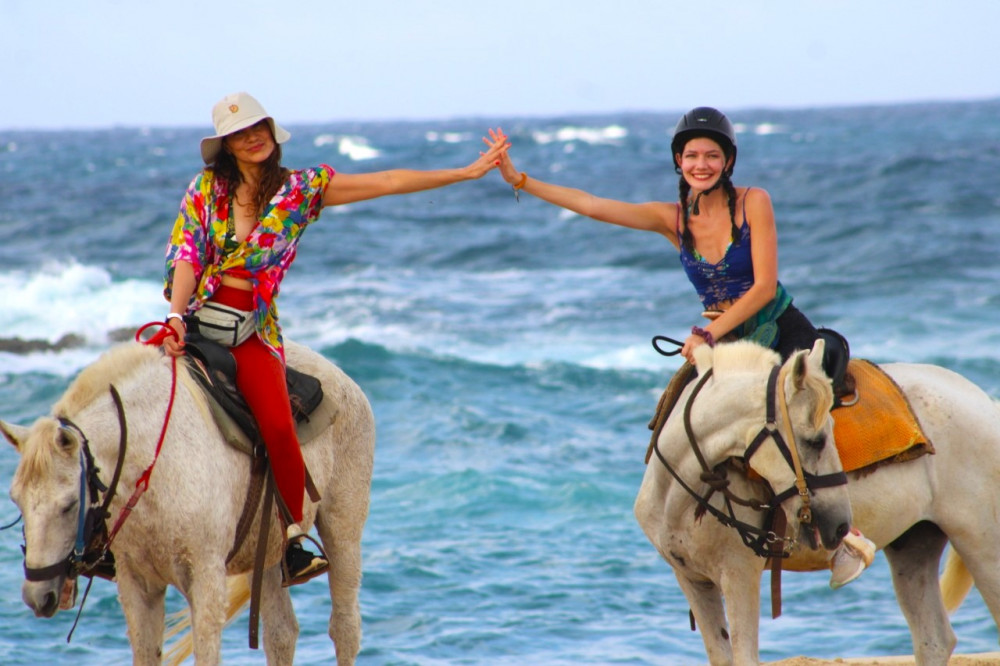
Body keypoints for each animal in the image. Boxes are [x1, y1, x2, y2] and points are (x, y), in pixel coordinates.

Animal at [0, 340, 376, 660]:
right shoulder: (138, 585)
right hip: (268, 552)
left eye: (68, 505)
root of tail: (346, 382)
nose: (37, 596)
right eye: (17, 502)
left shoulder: (206, 581)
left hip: (342, 532)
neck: (154, 460)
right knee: (281, 633)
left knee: (344, 628)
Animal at [636, 340, 1000, 660]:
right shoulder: (693, 580)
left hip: (982, 545)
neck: (679, 493)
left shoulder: (740, 575)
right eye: (817, 440)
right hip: (913, 544)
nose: (840, 525)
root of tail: (986, 402)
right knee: (934, 640)